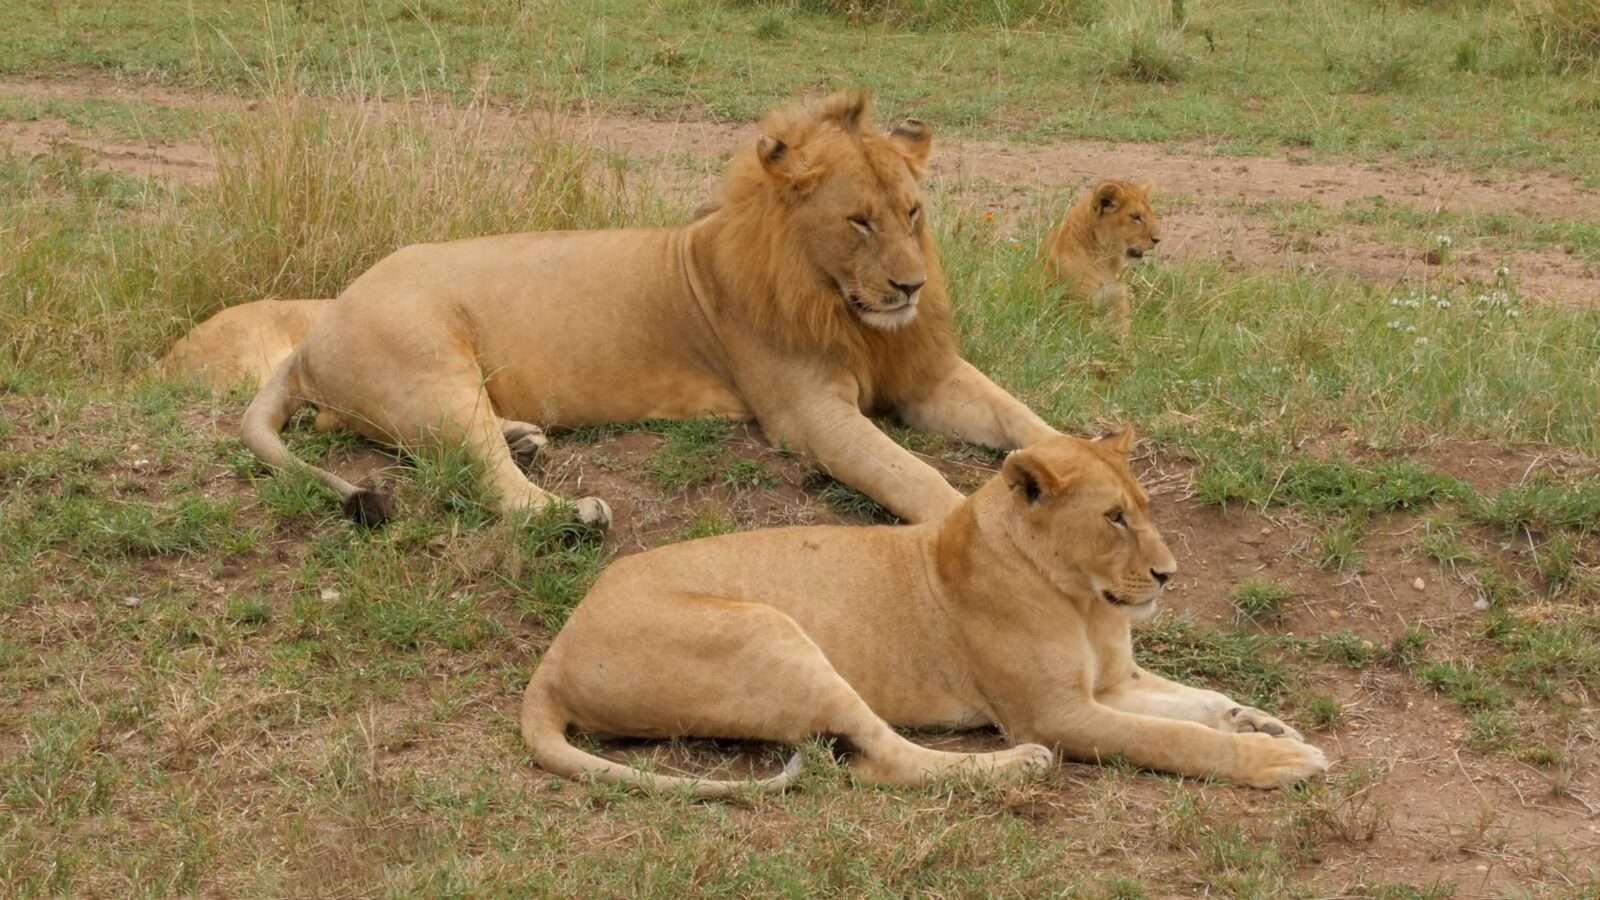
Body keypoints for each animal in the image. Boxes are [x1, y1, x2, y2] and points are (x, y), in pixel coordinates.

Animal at [243, 91, 1056, 525]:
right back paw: (566, 515)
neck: (844, 307)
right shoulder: (807, 413)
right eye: (859, 221)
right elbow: (908, 474)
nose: (910, 288)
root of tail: (313, 334)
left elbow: (1023, 418)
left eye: (912, 212)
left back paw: (523, 437)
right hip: (428, 365)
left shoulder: (927, 373)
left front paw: (1071, 459)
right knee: (484, 477)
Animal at [524, 432, 1324, 794]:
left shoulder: (1113, 684)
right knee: (884, 760)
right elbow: (1174, 738)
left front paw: (1267, 723)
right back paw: (1017, 766)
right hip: (771, 633)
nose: (1168, 573)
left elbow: (1204, 702)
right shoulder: (1058, 712)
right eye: (1114, 517)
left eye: (1146, 508)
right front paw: (1278, 759)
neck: (1085, 602)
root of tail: (554, 655)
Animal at [1036, 178, 1164, 336]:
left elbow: (1124, 335)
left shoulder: (1119, 304)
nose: (1158, 239)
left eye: (1151, 214)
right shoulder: (1078, 309)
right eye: (1136, 217)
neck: (1107, 261)